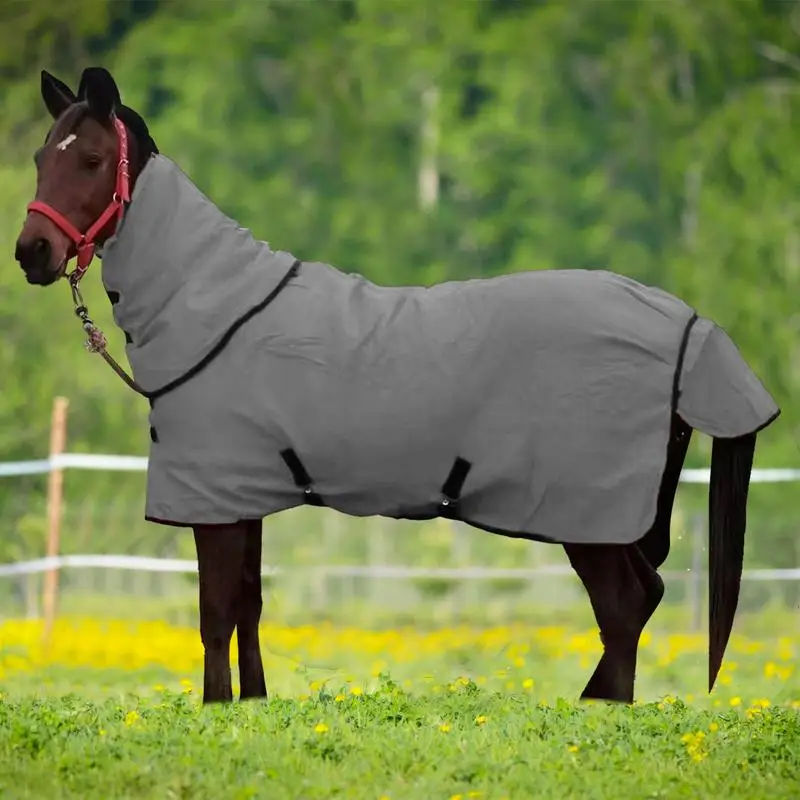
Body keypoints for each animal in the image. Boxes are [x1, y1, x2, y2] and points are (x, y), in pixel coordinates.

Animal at [14, 67, 780, 705]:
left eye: (89, 159)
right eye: (41, 157)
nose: (32, 254)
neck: (217, 306)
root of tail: (687, 326)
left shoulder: (214, 500)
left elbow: (213, 613)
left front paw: (214, 707)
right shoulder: (241, 494)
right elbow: (248, 606)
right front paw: (250, 706)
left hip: (590, 512)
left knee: (625, 603)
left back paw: (600, 714)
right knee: (638, 599)